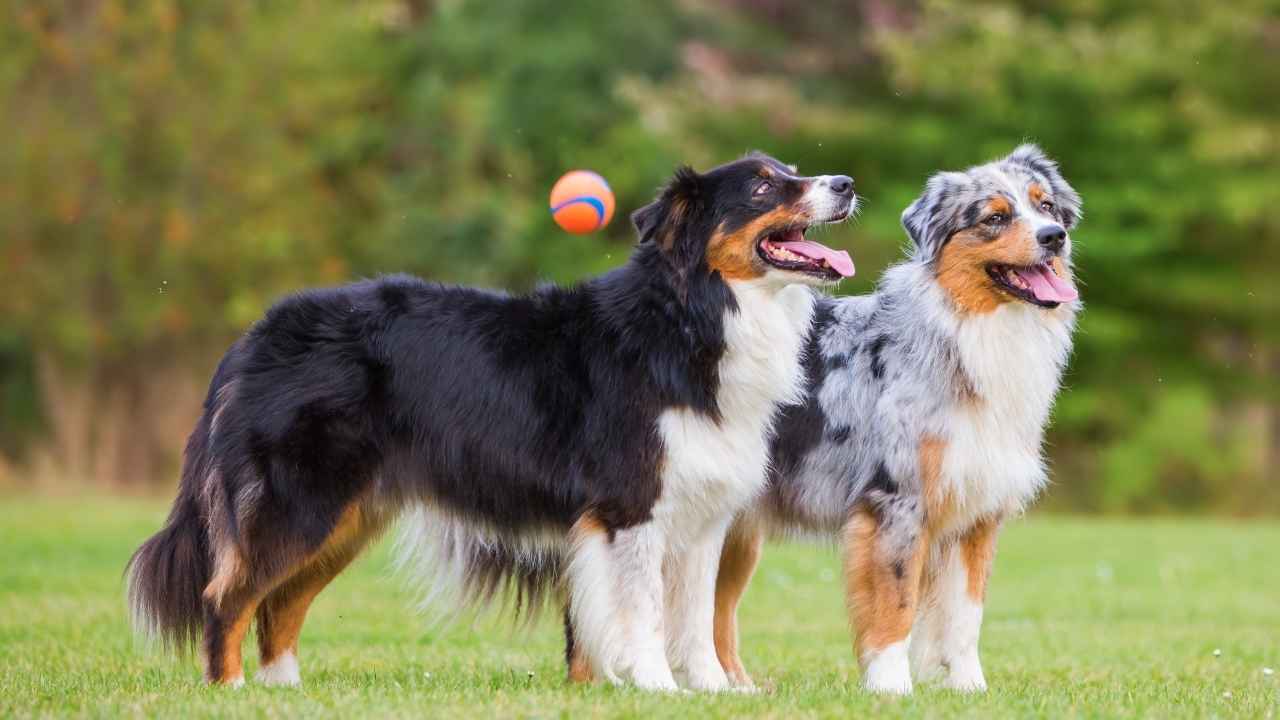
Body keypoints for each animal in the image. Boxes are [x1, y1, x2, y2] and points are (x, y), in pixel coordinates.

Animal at [711, 144, 1080, 691]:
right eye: (995, 218)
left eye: (1047, 206)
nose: (1054, 237)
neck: (963, 334)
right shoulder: (897, 502)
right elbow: (896, 604)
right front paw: (891, 688)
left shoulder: (977, 511)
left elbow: (966, 615)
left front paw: (971, 689)